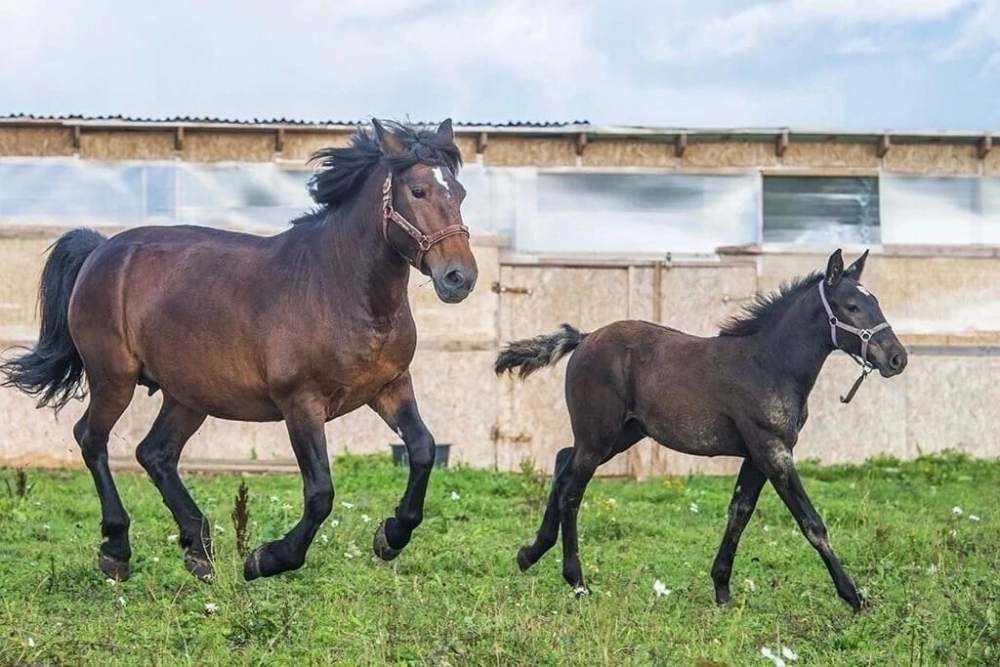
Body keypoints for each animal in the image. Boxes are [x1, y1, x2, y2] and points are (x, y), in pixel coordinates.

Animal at [2, 120, 480, 584]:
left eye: (459, 193)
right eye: (417, 191)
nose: (459, 277)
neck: (339, 286)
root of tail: (100, 250)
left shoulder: (390, 386)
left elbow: (423, 450)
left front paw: (391, 535)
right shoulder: (301, 403)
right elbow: (320, 492)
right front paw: (267, 559)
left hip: (188, 396)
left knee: (155, 454)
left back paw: (198, 549)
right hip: (113, 379)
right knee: (92, 439)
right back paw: (117, 550)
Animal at [496, 252, 912, 616]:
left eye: (874, 302)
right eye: (852, 307)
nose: (897, 358)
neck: (770, 363)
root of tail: (585, 338)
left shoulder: (758, 454)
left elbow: (740, 512)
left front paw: (722, 589)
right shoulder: (772, 450)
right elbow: (811, 522)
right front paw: (854, 598)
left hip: (621, 435)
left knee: (562, 461)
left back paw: (530, 553)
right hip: (599, 436)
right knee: (571, 489)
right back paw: (577, 581)